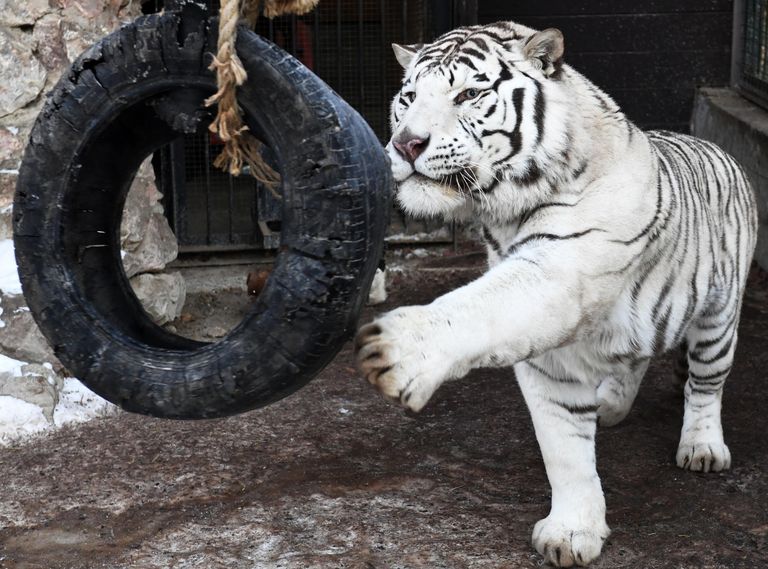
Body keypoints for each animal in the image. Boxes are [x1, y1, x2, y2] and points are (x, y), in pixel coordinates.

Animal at [354, 20, 758, 567]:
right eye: (409, 97)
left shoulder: (562, 270)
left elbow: (484, 306)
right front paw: (571, 532)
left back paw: (702, 448)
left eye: (468, 94)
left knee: (705, 385)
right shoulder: (551, 359)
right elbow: (563, 448)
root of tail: (717, 147)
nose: (406, 144)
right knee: (635, 356)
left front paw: (399, 351)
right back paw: (612, 405)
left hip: (719, 319)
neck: (504, 214)